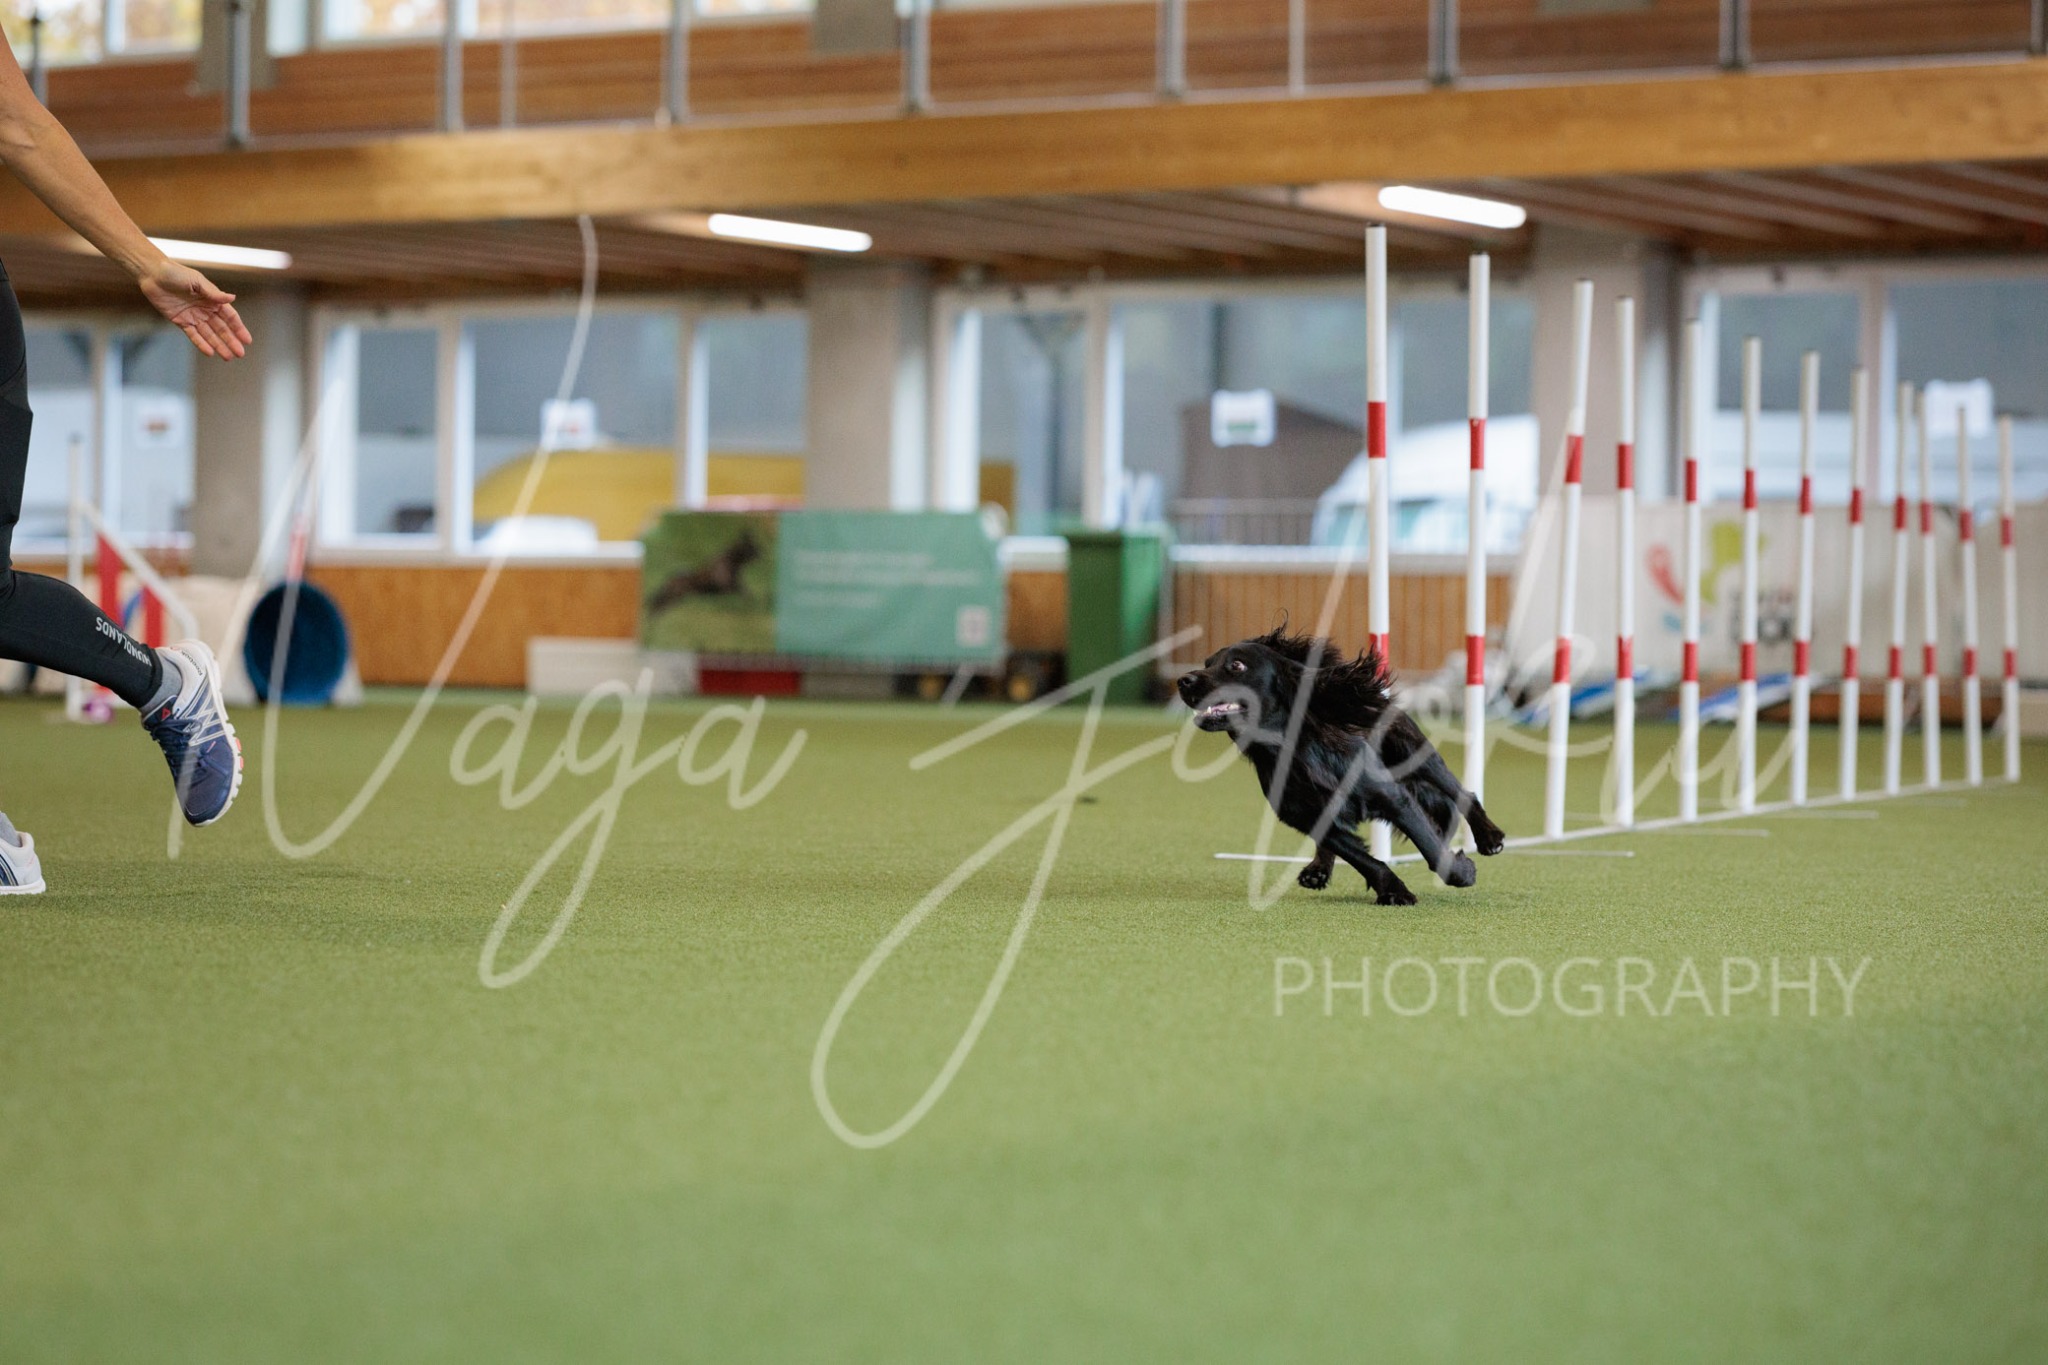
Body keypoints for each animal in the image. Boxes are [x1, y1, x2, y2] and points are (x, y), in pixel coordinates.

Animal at [1177, 628, 1505, 905]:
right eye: (1207, 663)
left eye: (1236, 666)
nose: (1184, 680)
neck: (1295, 749)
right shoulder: (1307, 817)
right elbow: (1363, 859)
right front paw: (1393, 891)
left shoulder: (1393, 797)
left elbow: (1431, 846)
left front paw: (1462, 872)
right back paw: (1317, 869)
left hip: (1414, 751)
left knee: (1462, 792)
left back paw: (1489, 838)